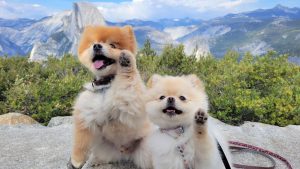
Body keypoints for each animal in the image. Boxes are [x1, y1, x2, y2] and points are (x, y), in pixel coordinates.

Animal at [68, 25, 152, 169]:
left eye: (112, 45)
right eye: (93, 43)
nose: (96, 46)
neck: (104, 86)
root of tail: (126, 155)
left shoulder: (130, 99)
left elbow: (129, 78)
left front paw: (126, 62)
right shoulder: (86, 116)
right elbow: (81, 142)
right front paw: (76, 161)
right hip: (103, 148)